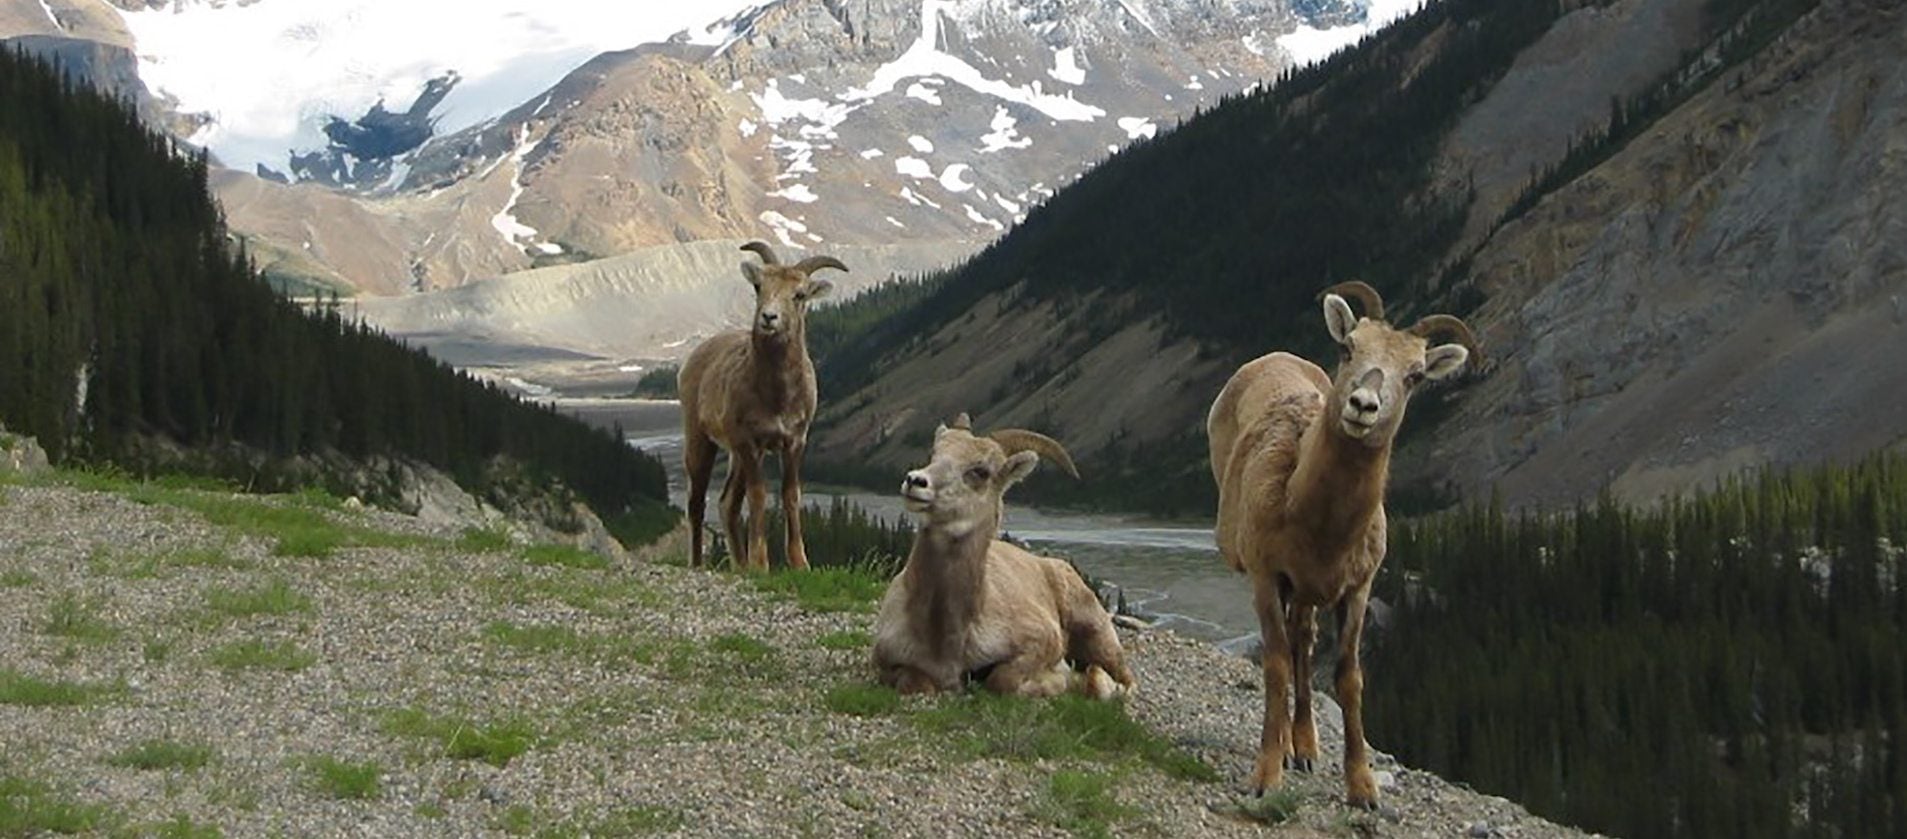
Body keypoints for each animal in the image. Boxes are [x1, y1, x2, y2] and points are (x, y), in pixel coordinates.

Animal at [678, 241, 847, 570]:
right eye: (759, 286)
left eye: (799, 294)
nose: (769, 318)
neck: (776, 398)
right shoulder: (749, 443)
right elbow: (759, 496)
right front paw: (761, 564)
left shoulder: (794, 442)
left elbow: (790, 495)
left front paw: (799, 563)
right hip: (701, 441)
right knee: (697, 502)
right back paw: (699, 564)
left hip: (735, 457)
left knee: (727, 504)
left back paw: (740, 566)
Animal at [872, 413, 1135, 699]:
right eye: (935, 454)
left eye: (980, 471)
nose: (915, 481)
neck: (943, 640)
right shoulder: (887, 664)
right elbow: (914, 683)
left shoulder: (1042, 641)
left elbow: (1001, 680)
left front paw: (1063, 681)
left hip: (1097, 634)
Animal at [1207, 281, 1478, 807]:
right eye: (1348, 347)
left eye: (1415, 375)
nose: (1362, 405)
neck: (1317, 524)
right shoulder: (1267, 578)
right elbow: (1274, 665)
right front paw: (1266, 776)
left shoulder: (1356, 590)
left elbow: (1348, 678)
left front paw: (1363, 789)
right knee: (1290, 650)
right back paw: (1290, 748)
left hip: (1309, 596)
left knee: (1304, 643)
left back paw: (1305, 749)